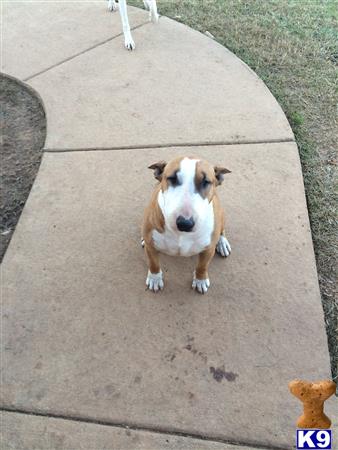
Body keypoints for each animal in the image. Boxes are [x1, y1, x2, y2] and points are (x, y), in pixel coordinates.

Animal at [141, 156, 231, 294]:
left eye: (206, 182)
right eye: (172, 178)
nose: (184, 223)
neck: (181, 234)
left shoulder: (208, 250)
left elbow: (202, 266)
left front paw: (200, 280)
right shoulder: (151, 247)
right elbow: (153, 263)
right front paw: (155, 279)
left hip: (221, 214)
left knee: (222, 230)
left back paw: (222, 243)